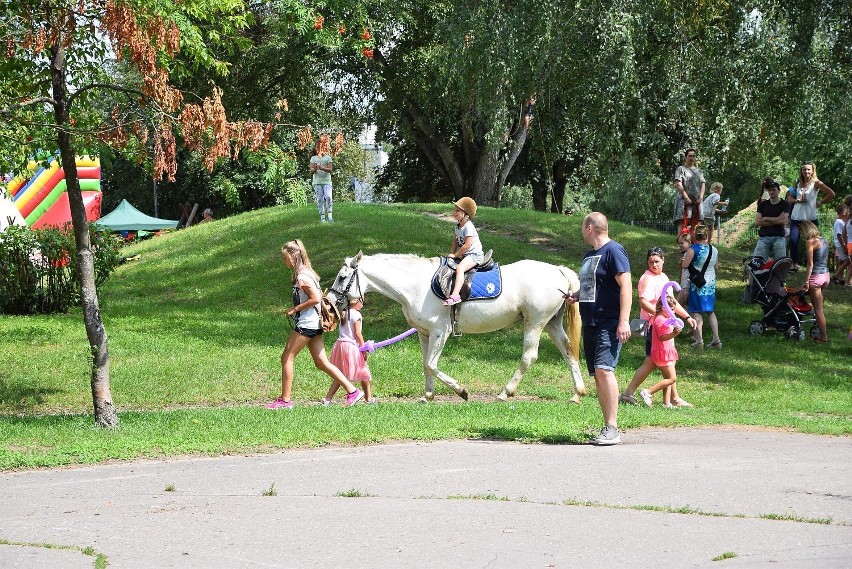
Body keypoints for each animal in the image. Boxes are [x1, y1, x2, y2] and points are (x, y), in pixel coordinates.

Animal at [326, 251, 584, 402]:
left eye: (342, 277)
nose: (329, 301)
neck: (416, 285)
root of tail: (559, 270)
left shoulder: (441, 332)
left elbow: (431, 365)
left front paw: (461, 391)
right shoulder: (424, 334)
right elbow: (425, 365)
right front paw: (428, 395)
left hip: (535, 323)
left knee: (529, 357)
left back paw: (505, 392)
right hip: (551, 323)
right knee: (568, 350)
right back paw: (577, 393)